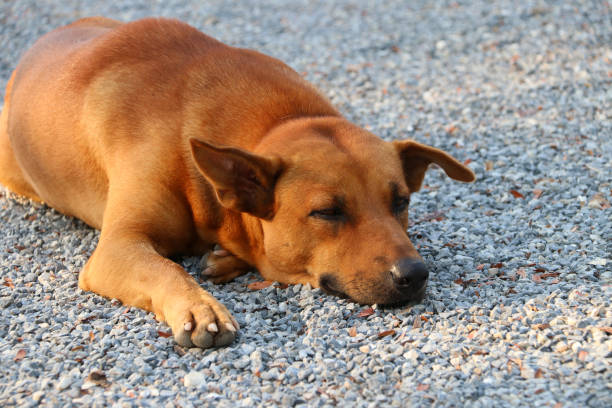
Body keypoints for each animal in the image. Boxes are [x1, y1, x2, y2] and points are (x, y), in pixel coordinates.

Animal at [0, 17, 476, 350]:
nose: (415, 274)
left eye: (401, 202)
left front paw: (225, 258)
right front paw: (197, 307)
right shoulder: (117, 248)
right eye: (327, 212)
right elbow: (166, 267)